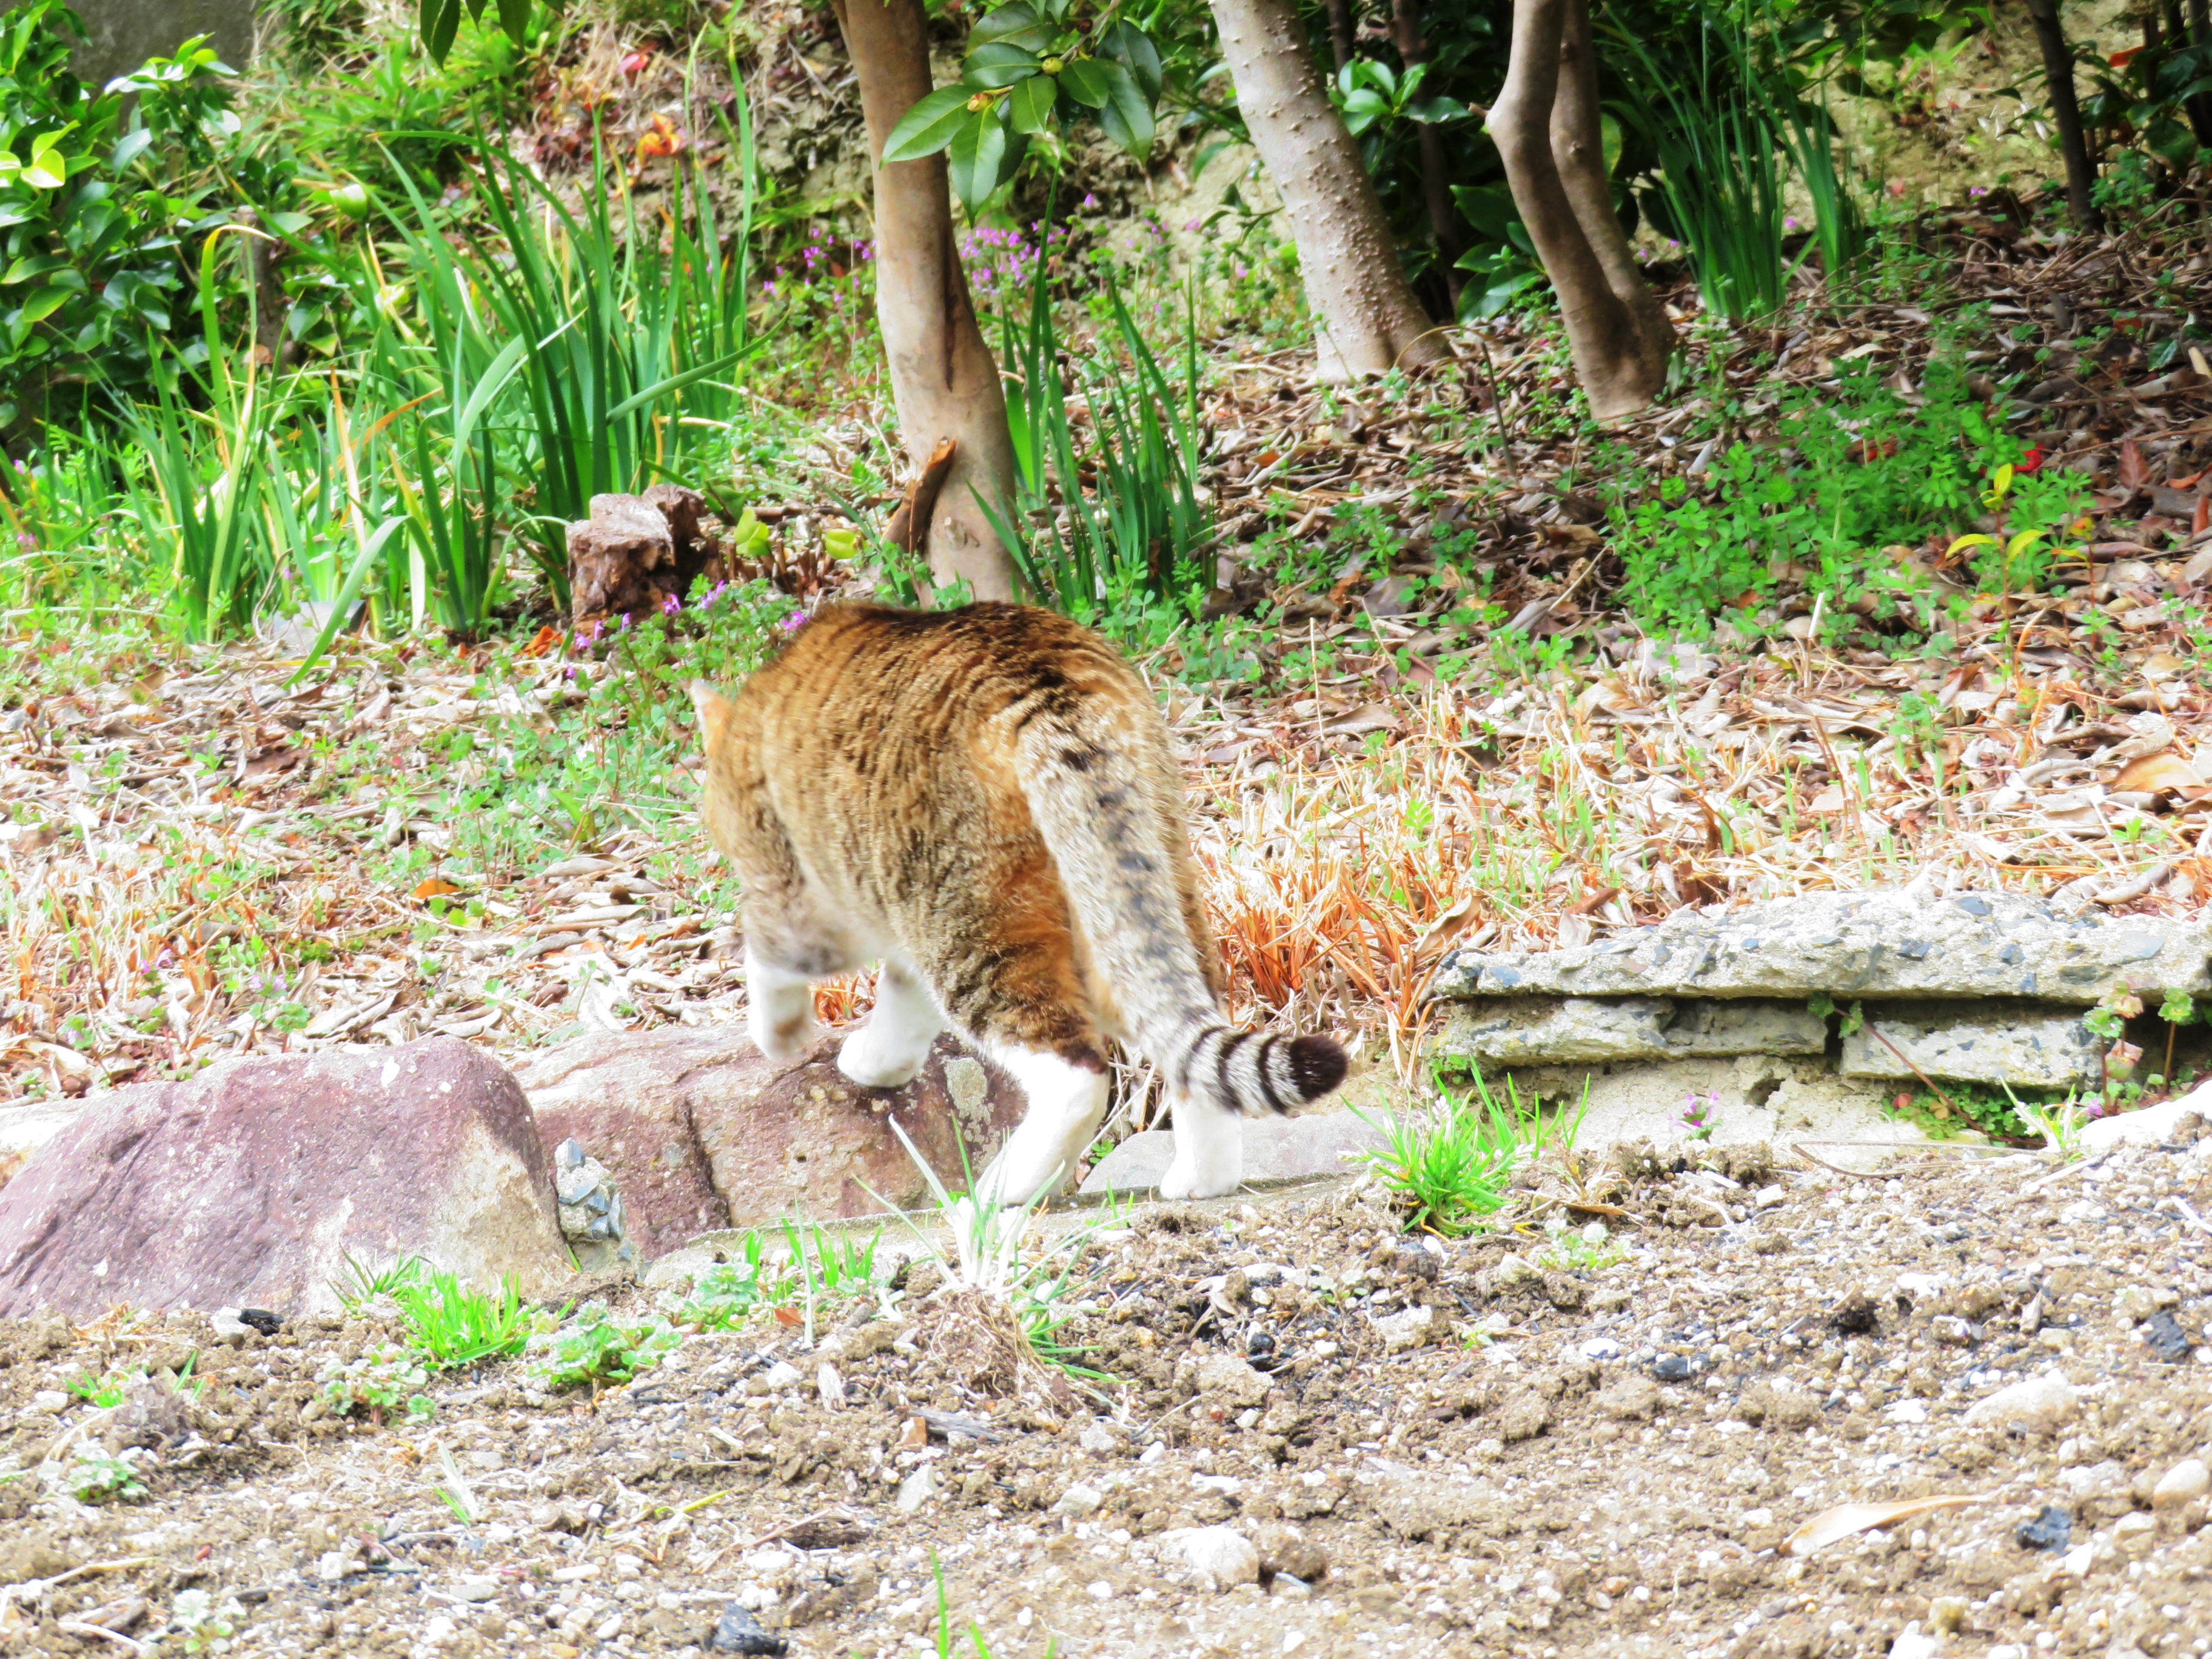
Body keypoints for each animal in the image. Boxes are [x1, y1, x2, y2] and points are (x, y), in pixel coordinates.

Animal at [690, 606, 1344, 1203]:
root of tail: (1043, 685)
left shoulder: (801, 897)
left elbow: (767, 963)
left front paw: (782, 1038)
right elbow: (901, 1017)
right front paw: (873, 1064)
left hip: (968, 920)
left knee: (1076, 1073)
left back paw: (1000, 1193)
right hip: (1131, 895)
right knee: (1182, 1032)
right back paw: (1202, 1181)